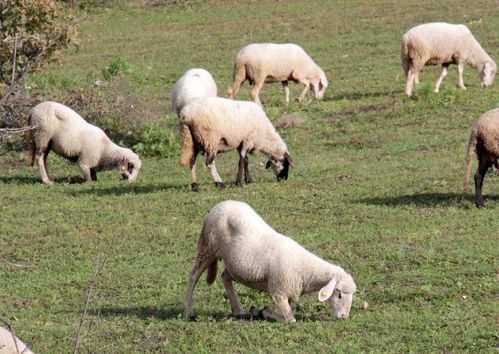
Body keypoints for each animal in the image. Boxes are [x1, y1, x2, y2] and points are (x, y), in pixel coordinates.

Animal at [186, 201, 358, 322]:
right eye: (339, 294)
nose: (344, 317)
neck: (304, 269)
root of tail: (218, 205)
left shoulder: (289, 294)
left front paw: (259, 312)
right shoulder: (278, 292)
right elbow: (290, 319)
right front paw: (263, 312)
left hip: (234, 263)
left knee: (225, 277)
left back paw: (237, 310)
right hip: (207, 246)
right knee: (193, 276)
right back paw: (188, 311)